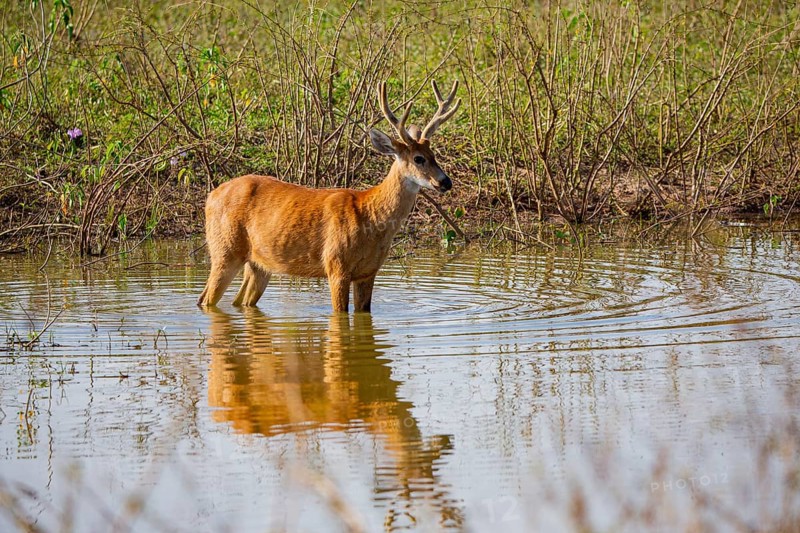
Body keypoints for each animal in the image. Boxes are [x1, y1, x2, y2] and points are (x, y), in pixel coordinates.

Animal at [197, 79, 460, 312]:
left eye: (434, 155)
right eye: (418, 158)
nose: (445, 182)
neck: (371, 216)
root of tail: (211, 196)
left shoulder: (368, 272)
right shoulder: (336, 265)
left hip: (258, 263)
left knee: (238, 301)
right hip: (225, 250)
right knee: (206, 299)